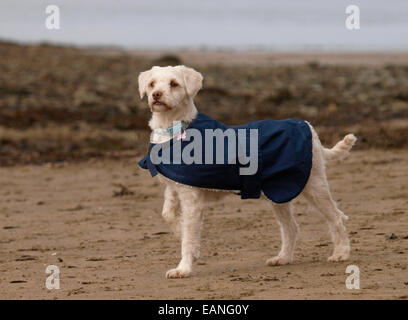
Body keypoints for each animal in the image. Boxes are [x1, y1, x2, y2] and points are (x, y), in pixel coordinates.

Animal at [139, 65, 356, 278]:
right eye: (152, 84)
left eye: (174, 84)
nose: (156, 95)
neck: (173, 129)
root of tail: (310, 129)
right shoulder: (174, 188)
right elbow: (169, 215)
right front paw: (184, 237)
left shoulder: (191, 199)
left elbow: (189, 237)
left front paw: (183, 268)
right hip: (279, 193)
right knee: (291, 227)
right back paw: (283, 258)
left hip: (314, 187)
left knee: (336, 217)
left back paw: (341, 253)